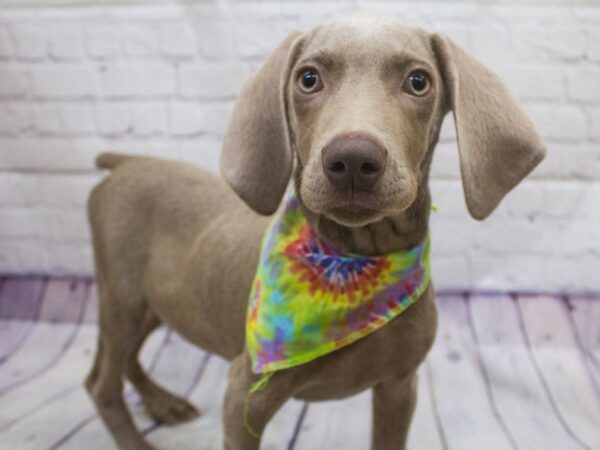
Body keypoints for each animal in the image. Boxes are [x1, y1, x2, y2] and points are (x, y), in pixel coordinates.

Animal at [85, 12, 548, 448]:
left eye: (419, 82)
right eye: (308, 79)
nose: (353, 160)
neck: (352, 263)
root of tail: (125, 161)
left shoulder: (400, 386)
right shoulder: (244, 398)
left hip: (153, 300)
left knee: (119, 361)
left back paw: (161, 401)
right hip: (123, 296)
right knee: (101, 383)